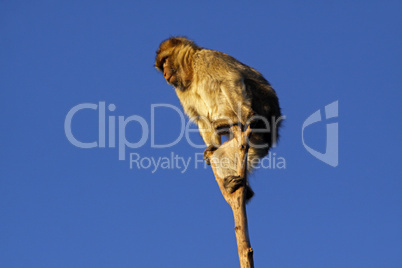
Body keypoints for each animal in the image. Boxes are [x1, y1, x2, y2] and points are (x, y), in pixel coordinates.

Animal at [155, 36, 282, 200]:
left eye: (165, 60)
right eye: (161, 65)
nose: (165, 73)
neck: (192, 73)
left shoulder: (206, 58)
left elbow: (229, 78)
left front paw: (245, 115)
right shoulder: (180, 90)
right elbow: (200, 118)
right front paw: (212, 147)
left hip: (263, 106)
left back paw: (234, 120)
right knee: (221, 154)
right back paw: (240, 189)